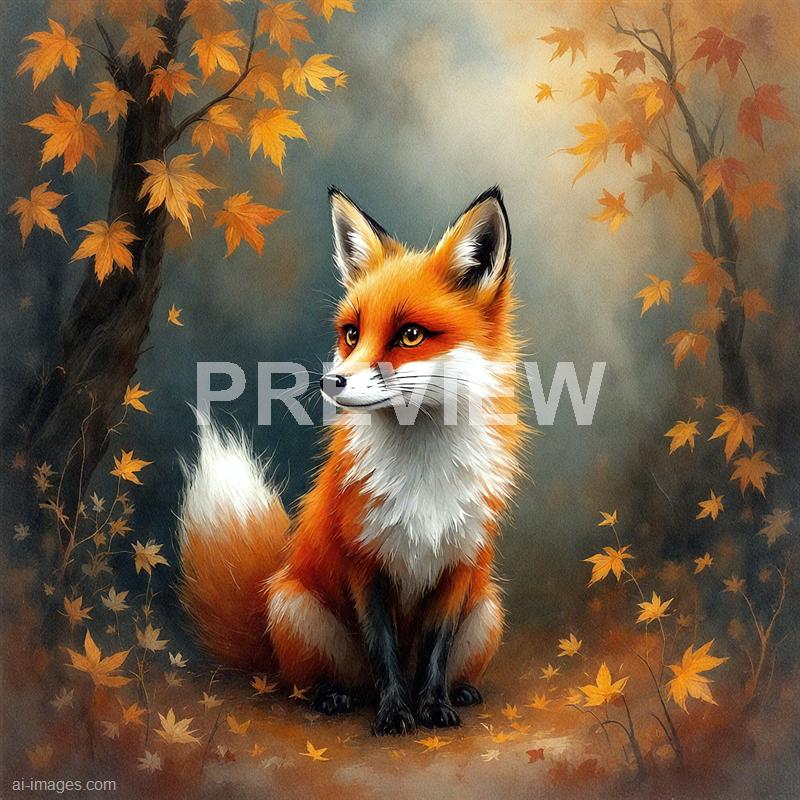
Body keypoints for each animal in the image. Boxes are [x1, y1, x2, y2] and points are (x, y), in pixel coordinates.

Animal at [178, 186, 525, 735]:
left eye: (410, 335)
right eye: (351, 333)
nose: (330, 382)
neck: (422, 473)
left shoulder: (458, 565)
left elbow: (434, 653)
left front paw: (432, 707)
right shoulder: (363, 563)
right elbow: (384, 654)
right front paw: (395, 714)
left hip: (488, 610)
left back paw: (461, 691)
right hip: (296, 610)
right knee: (320, 683)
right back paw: (333, 696)